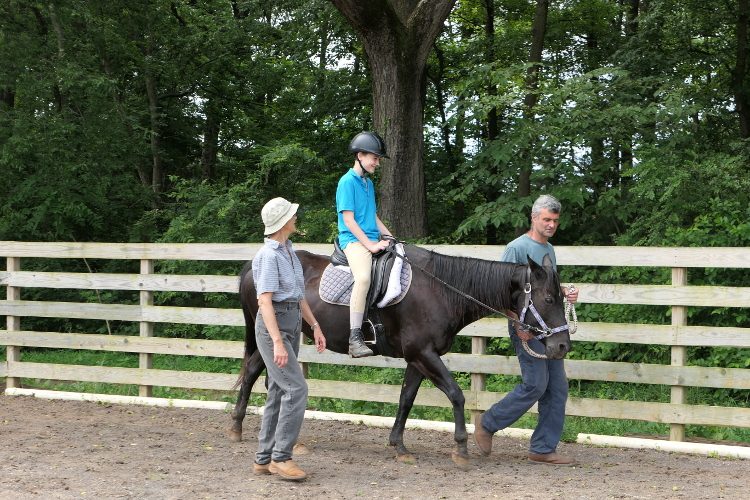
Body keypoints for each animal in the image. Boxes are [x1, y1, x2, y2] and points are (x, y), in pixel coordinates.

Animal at [228, 245, 568, 468]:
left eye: (563, 296)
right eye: (549, 298)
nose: (562, 346)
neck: (441, 291)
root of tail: (254, 263)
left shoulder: (417, 358)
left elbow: (406, 399)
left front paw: (398, 446)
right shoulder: (424, 354)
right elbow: (456, 394)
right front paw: (461, 448)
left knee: (264, 376)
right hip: (273, 337)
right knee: (254, 372)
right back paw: (237, 428)